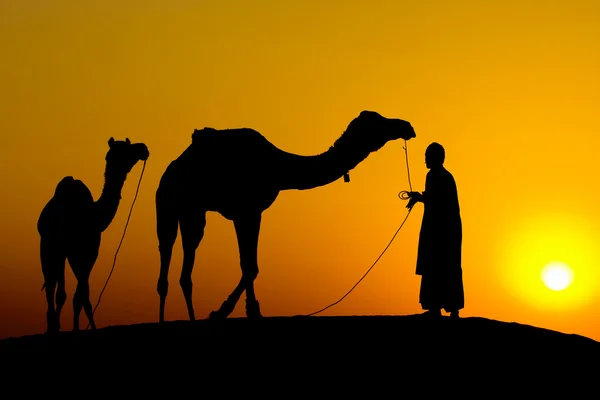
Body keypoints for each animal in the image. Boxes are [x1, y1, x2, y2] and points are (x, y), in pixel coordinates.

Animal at [37, 139, 149, 332]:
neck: (94, 215)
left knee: (58, 289)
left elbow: (82, 296)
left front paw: (86, 327)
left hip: (62, 253)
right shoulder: (84, 252)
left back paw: (55, 325)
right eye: (127, 149)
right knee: (51, 286)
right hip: (48, 247)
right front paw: (76, 329)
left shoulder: (87, 254)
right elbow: (77, 295)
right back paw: (51, 326)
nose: (143, 148)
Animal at [156, 110, 418, 322]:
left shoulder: (250, 212)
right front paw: (228, 312)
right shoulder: (247, 210)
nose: (407, 126)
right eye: (378, 122)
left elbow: (249, 264)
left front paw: (247, 311)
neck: (280, 167)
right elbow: (250, 266)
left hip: (188, 211)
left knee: (178, 268)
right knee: (171, 256)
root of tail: (171, 169)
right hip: (173, 205)